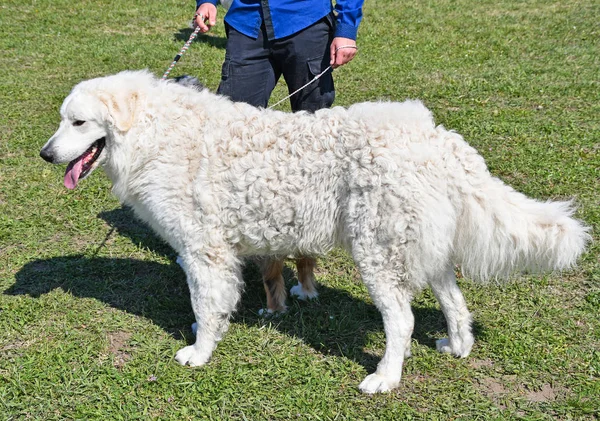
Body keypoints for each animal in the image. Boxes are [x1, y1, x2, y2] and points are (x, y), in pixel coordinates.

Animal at [39, 70, 588, 392]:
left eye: (79, 123)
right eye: (63, 121)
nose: (45, 154)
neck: (155, 131)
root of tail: (439, 138)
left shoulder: (204, 250)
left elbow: (206, 303)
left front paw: (200, 352)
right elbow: (216, 302)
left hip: (378, 251)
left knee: (402, 322)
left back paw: (385, 378)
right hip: (415, 247)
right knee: (454, 303)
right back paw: (457, 347)